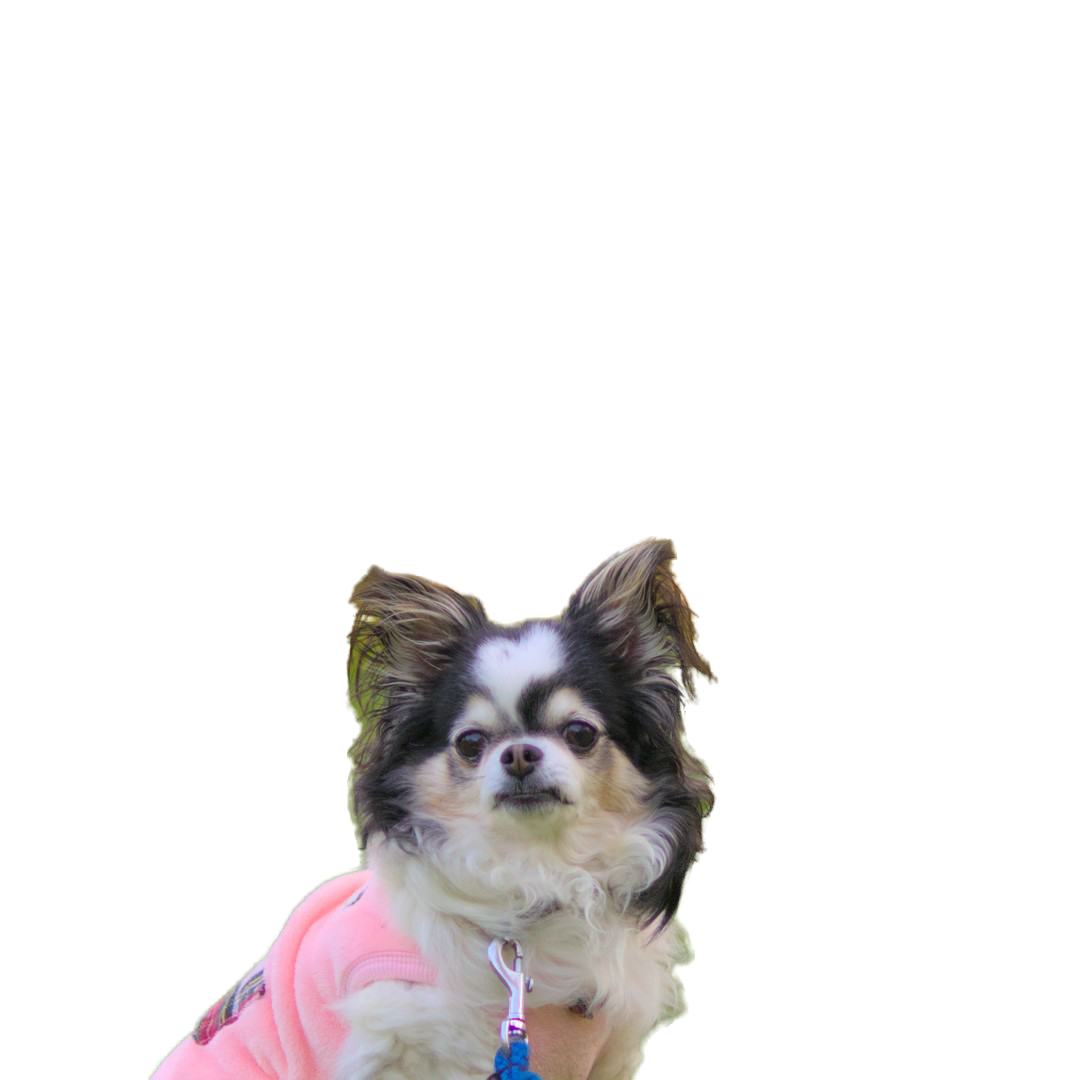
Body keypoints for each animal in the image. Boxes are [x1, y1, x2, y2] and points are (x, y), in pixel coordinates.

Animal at [151, 541, 729, 1080]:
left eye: (580, 733)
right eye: (470, 742)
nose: (520, 753)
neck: (537, 872)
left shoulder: (607, 1053)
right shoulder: (395, 1042)